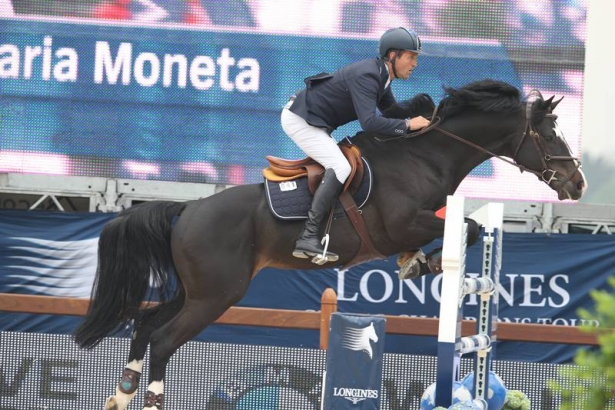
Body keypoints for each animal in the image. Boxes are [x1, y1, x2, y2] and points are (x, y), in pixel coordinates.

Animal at [73, 78, 588, 408]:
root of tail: (188, 210)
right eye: (548, 134)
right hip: (215, 296)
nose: (577, 183)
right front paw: (420, 263)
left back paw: (119, 395)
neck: (425, 155)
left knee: (145, 325)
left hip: (194, 290)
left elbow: (469, 228)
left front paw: (415, 263)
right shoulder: (405, 222)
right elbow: (467, 228)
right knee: (161, 340)